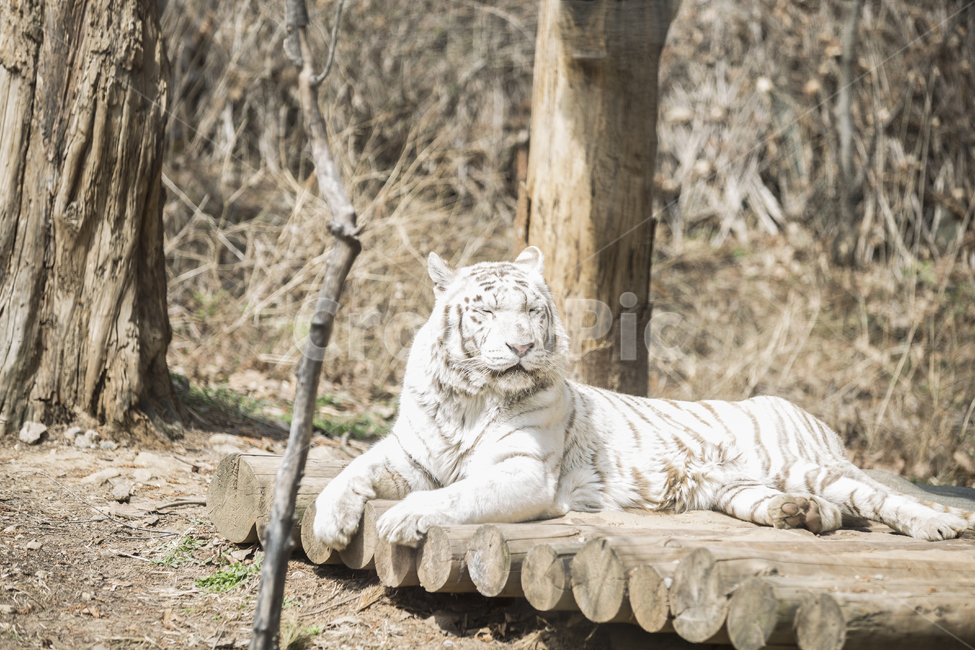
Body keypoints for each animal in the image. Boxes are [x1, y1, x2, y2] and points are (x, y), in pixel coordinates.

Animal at [313, 246, 975, 547]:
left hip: (809, 465)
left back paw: (939, 526)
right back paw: (799, 516)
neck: (472, 398)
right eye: (487, 312)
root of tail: (807, 414)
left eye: (532, 311)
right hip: (737, 487)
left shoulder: (522, 473)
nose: (521, 346)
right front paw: (328, 524)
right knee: (824, 510)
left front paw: (402, 517)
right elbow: (345, 474)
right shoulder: (407, 451)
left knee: (883, 500)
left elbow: (455, 497)